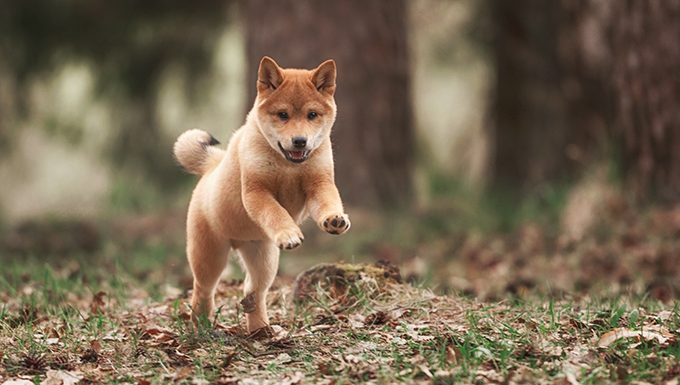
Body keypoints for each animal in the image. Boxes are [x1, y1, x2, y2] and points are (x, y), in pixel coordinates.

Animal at [174, 55, 350, 332]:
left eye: (312, 115)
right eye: (282, 115)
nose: (300, 141)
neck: (288, 165)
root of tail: (212, 165)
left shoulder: (319, 184)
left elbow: (328, 203)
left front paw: (335, 220)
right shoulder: (257, 192)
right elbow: (275, 213)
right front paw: (289, 233)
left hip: (264, 257)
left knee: (252, 289)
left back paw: (261, 330)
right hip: (209, 256)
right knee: (202, 289)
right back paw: (201, 324)